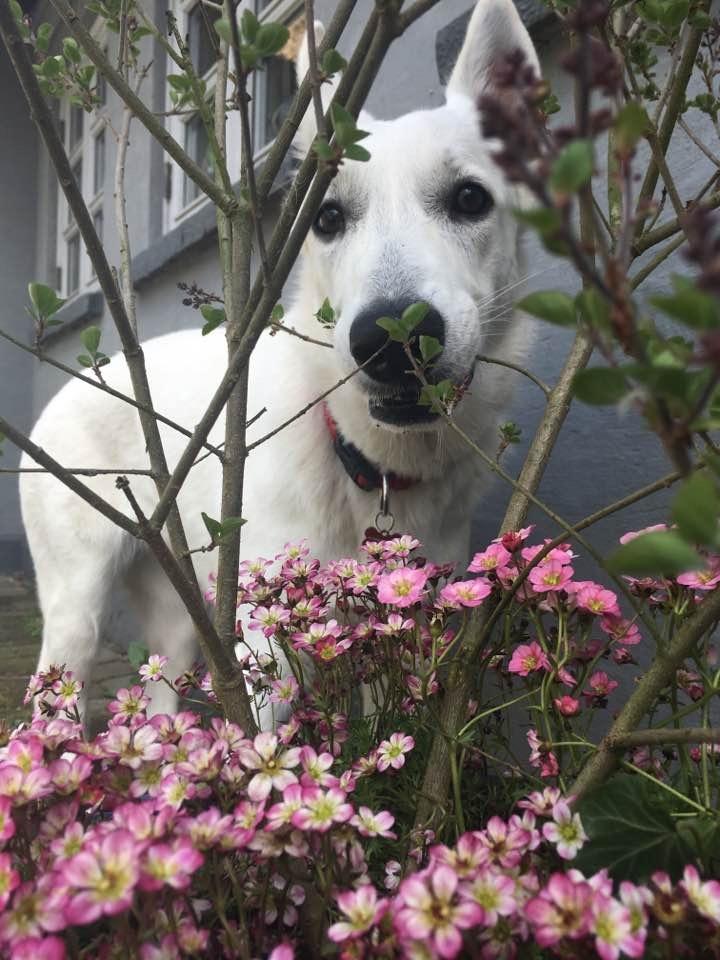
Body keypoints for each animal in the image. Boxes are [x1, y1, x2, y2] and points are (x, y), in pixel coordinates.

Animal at [18, 0, 540, 720]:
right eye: (327, 217)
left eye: (470, 199)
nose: (388, 341)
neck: (368, 465)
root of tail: (82, 378)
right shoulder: (263, 659)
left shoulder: (401, 642)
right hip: (77, 615)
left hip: (180, 616)